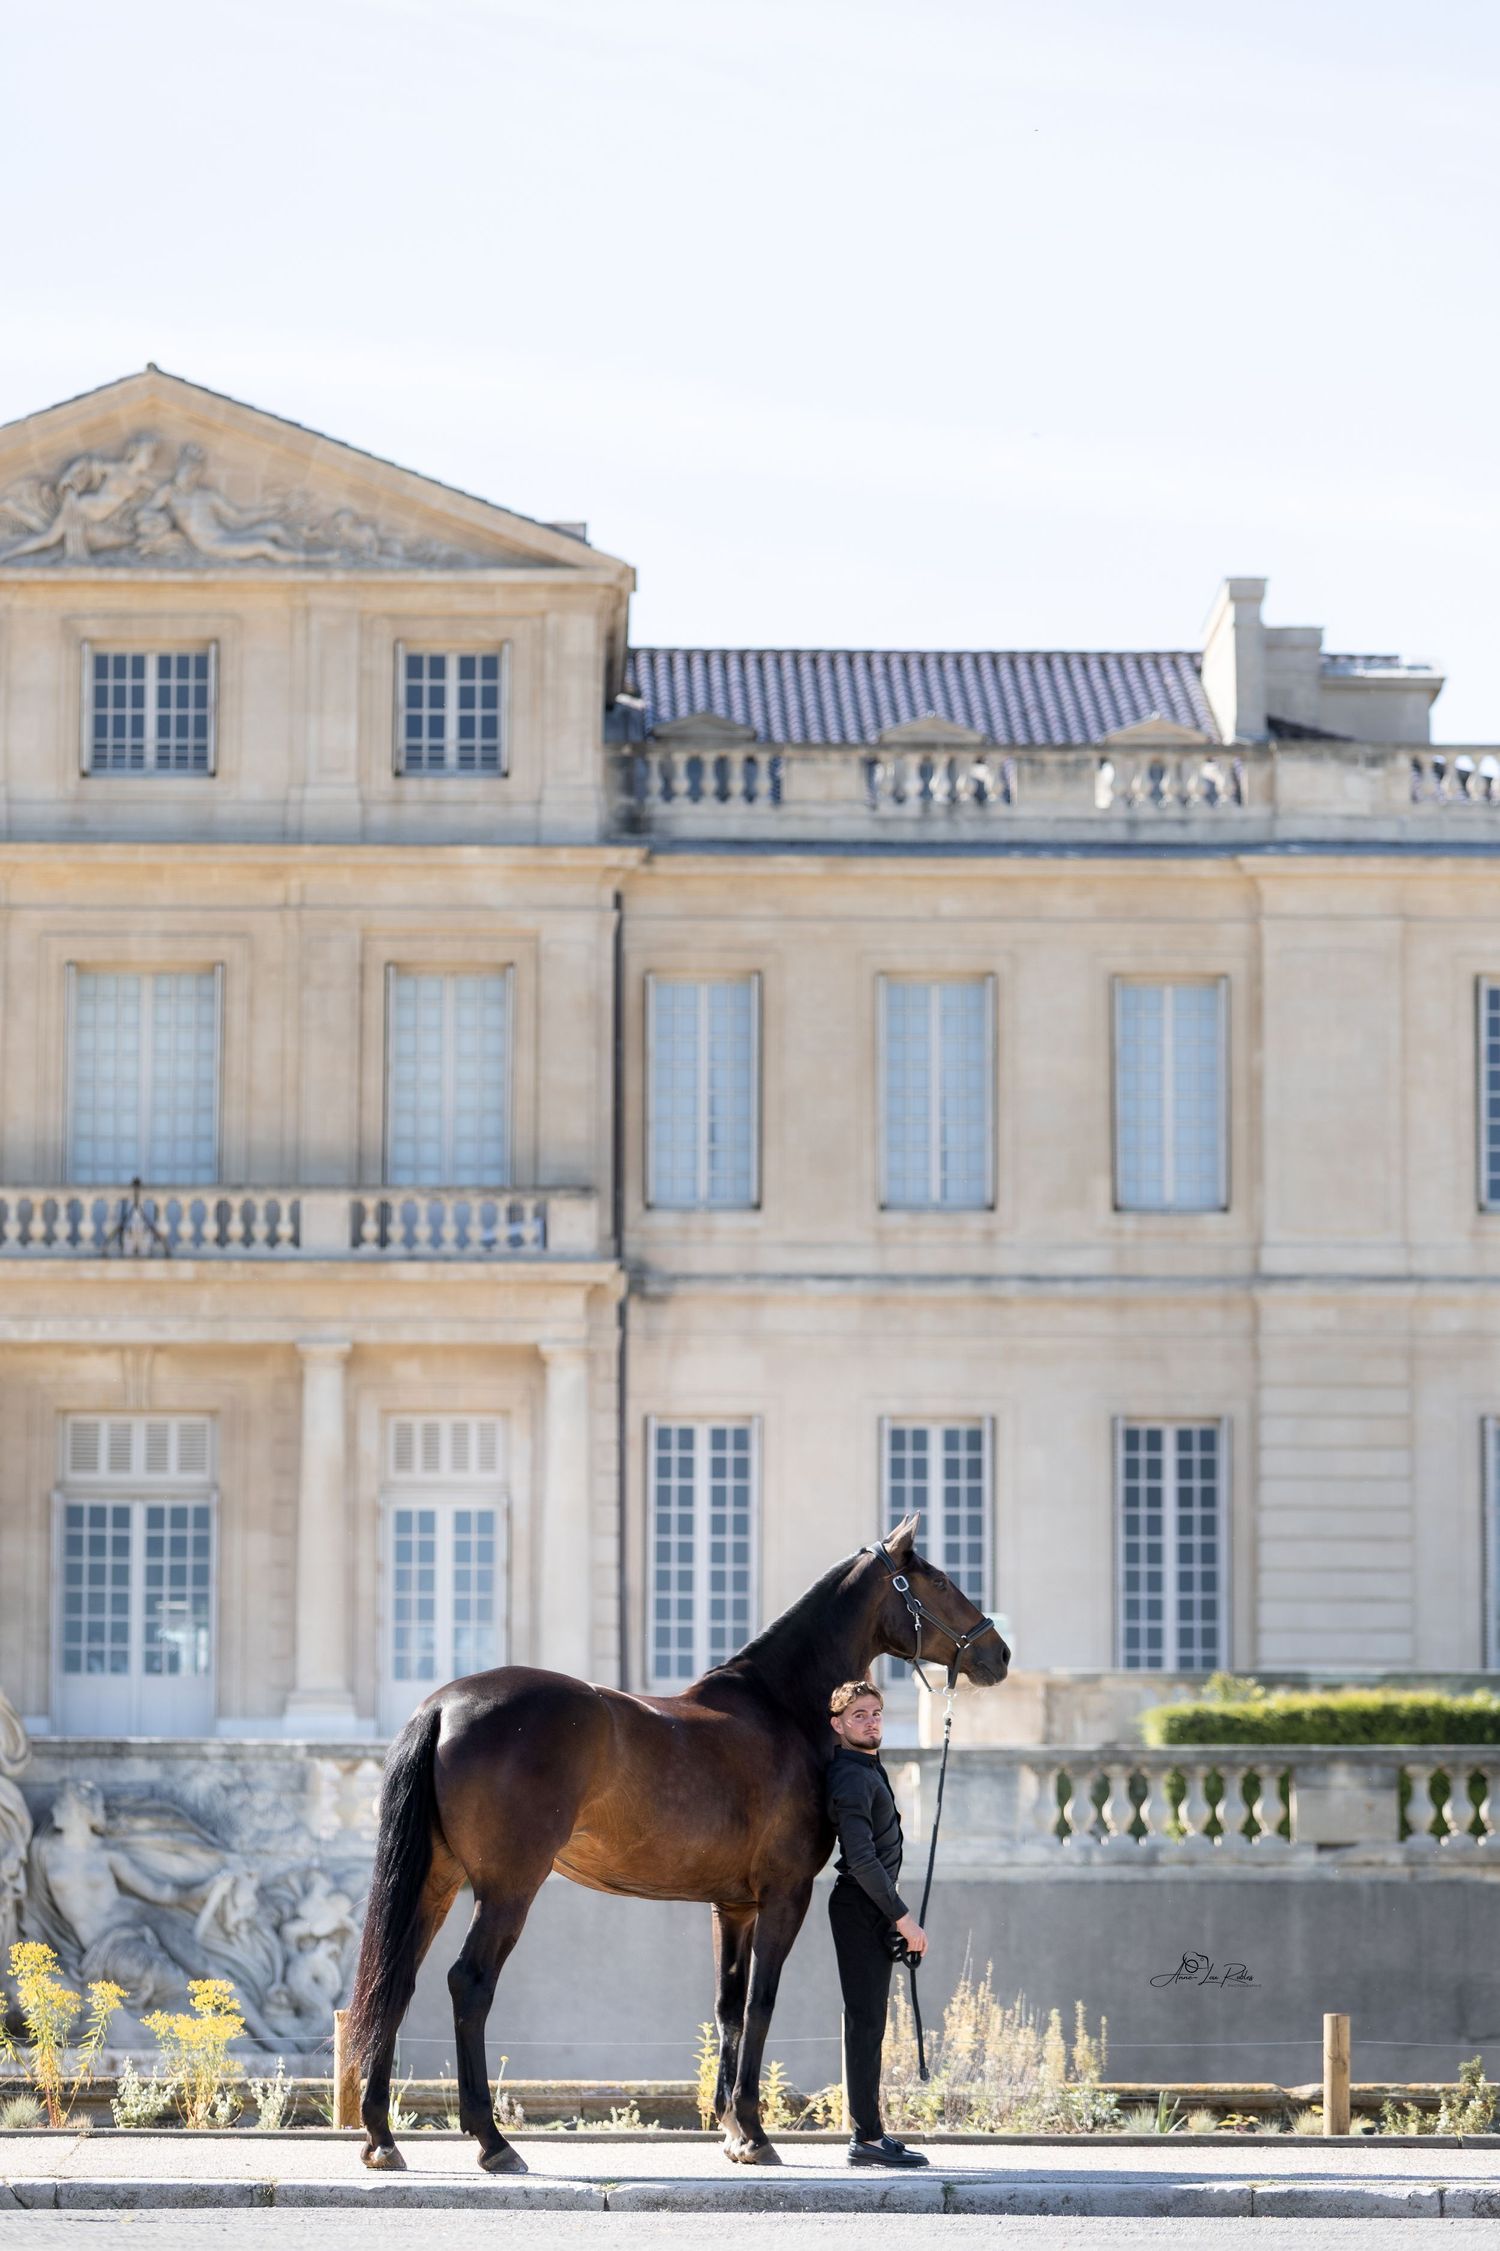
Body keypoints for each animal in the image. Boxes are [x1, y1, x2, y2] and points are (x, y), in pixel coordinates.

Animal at [345, 1514, 1010, 2172]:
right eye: (940, 1580)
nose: (999, 1653)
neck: (782, 1708)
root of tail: (443, 1706)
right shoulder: (785, 1895)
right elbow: (760, 2003)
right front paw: (755, 2132)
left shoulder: (733, 1907)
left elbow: (728, 2006)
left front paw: (733, 2132)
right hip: (508, 1889)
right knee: (469, 1982)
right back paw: (493, 2142)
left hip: (436, 1883)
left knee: (394, 1981)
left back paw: (381, 2138)